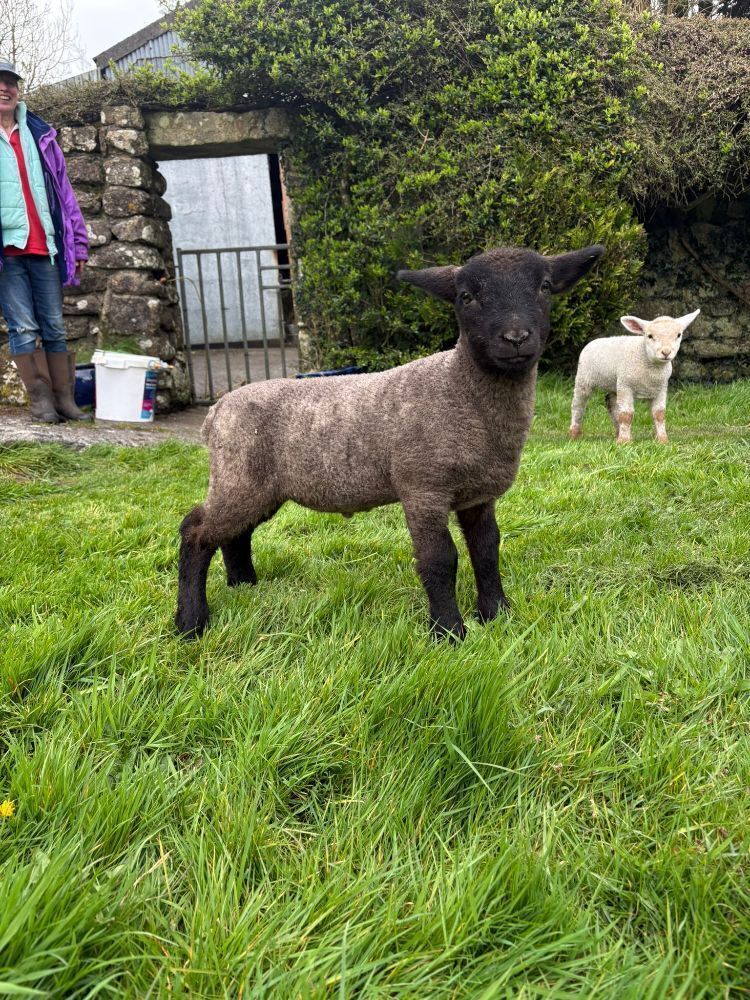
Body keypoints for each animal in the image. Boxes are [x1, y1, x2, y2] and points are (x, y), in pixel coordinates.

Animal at [175, 244, 604, 641]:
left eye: (545, 287)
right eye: (467, 296)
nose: (516, 338)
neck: (461, 391)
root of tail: (217, 410)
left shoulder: (478, 495)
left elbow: (486, 550)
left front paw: (496, 614)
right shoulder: (422, 487)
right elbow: (439, 559)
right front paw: (448, 632)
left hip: (259, 486)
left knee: (235, 533)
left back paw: (244, 585)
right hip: (239, 475)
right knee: (196, 531)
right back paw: (191, 623)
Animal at [569, 310, 700, 444]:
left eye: (678, 335)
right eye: (650, 336)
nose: (666, 352)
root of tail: (593, 341)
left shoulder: (661, 388)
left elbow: (659, 414)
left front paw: (662, 440)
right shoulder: (626, 386)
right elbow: (626, 414)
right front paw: (624, 442)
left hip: (615, 384)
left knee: (611, 403)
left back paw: (618, 432)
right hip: (584, 379)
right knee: (578, 406)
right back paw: (574, 434)